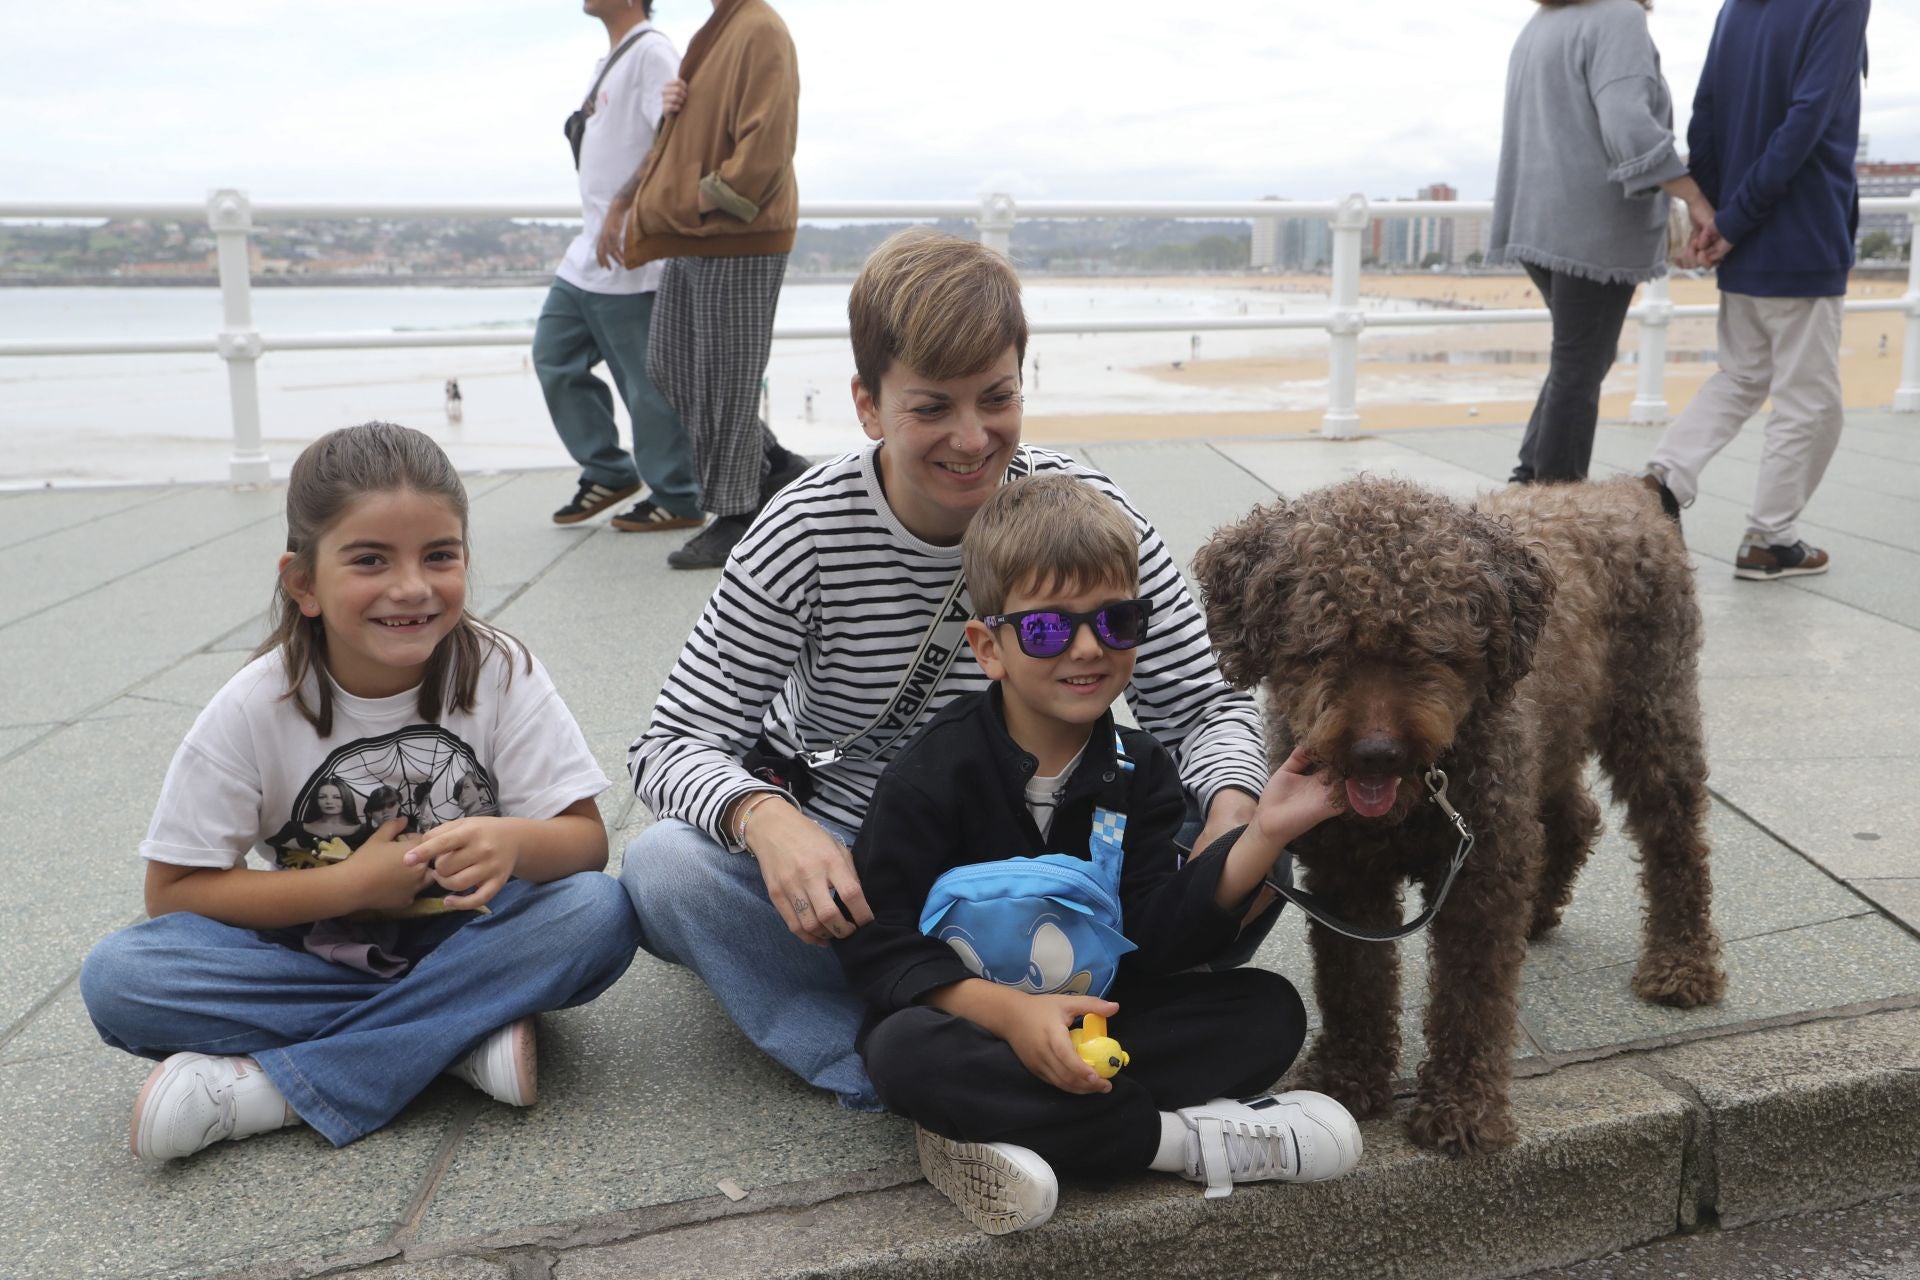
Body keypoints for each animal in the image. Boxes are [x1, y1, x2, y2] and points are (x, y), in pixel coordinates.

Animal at [1198, 475, 1728, 1159]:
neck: (1412, 803)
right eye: (1322, 646)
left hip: (1652, 709)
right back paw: (1540, 909)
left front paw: (1463, 1107)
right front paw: (1347, 1077)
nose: (1378, 753)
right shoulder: (1346, 877)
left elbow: (1471, 995)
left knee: (1675, 838)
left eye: (1430, 647)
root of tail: (1620, 491)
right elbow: (1354, 981)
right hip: (1550, 738)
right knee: (1575, 815)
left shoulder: (1481, 869)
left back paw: (1681, 964)